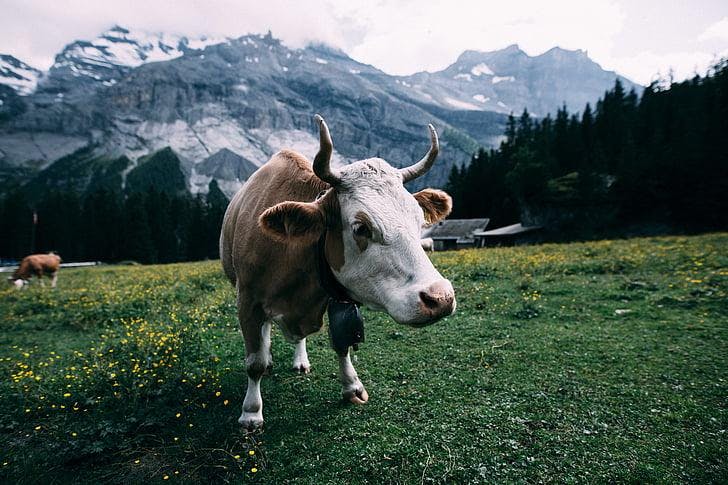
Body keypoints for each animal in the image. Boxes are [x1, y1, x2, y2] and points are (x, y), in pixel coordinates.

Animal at [220, 115, 456, 430]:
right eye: (361, 227)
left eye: (419, 220)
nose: (440, 298)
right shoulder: (247, 300)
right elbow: (254, 362)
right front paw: (251, 412)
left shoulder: (337, 298)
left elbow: (342, 343)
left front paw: (352, 387)